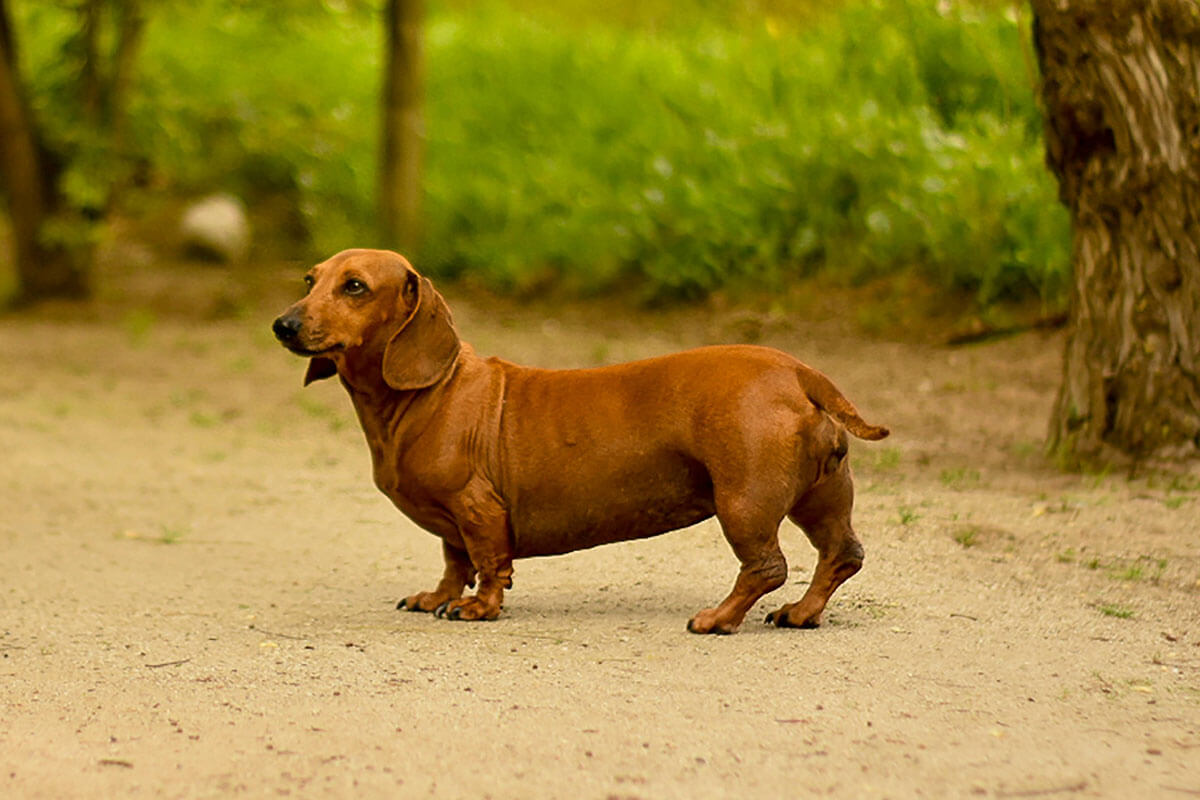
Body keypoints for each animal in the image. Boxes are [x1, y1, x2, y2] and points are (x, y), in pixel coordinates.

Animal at [274, 247, 892, 633]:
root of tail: (798, 372)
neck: (430, 393)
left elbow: (488, 562)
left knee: (766, 567)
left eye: (355, 286)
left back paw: (717, 619)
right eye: (310, 279)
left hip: (744, 502)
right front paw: (439, 597)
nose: (283, 325)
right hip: (820, 496)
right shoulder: (451, 521)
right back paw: (801, 613)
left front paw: (477, 608)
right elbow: (453, 559)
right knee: (842, 554)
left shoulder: (476, 507)